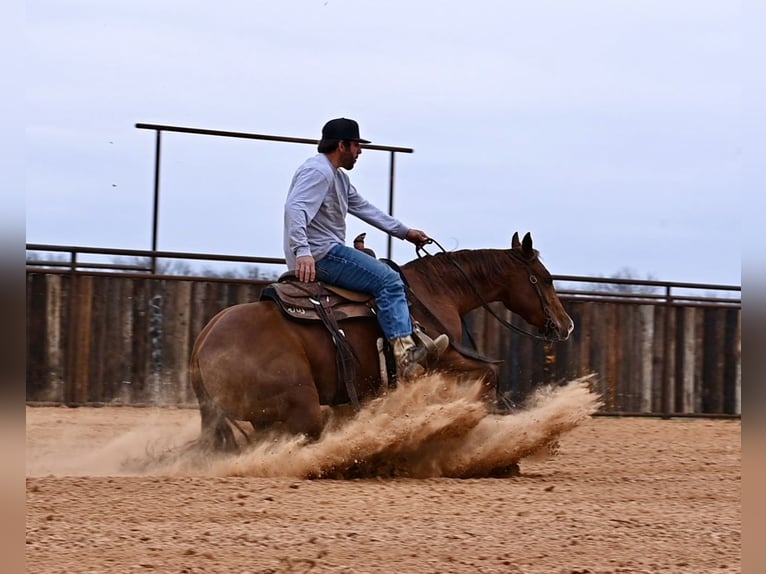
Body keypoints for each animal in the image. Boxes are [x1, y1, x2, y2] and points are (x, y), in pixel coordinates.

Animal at [190, 232, 576, 452]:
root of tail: (203, 343)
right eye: (545, 278)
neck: (432, 294)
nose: (566, 325)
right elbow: (488, 377)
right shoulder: (442, 357)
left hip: (266, 417)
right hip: (301, 406)